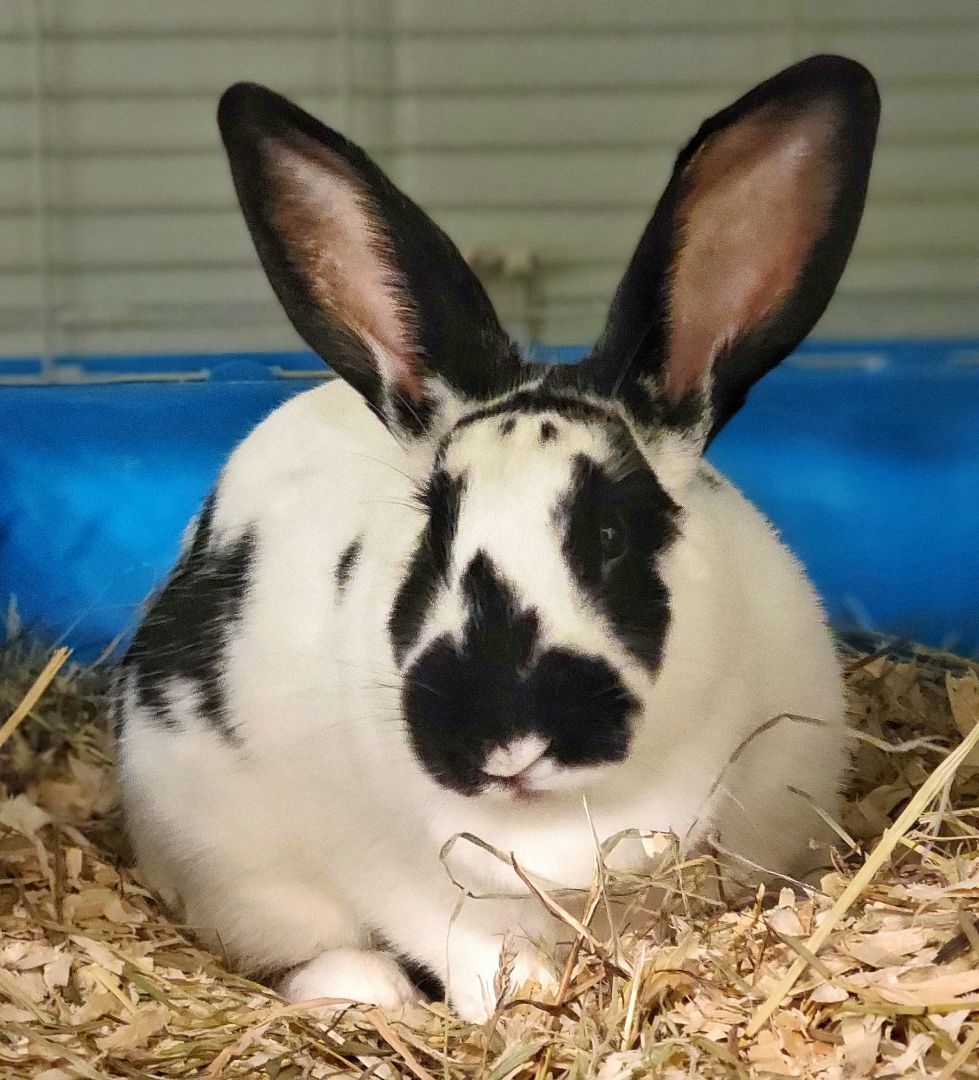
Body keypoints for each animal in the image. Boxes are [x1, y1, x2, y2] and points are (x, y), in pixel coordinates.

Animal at [114, 55, 879, 1022]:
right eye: (434, 530)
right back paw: (362, 988)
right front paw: (521, 1006)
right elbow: (478, 957)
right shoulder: (420, 889)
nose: (502, 738)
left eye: (610, 531)